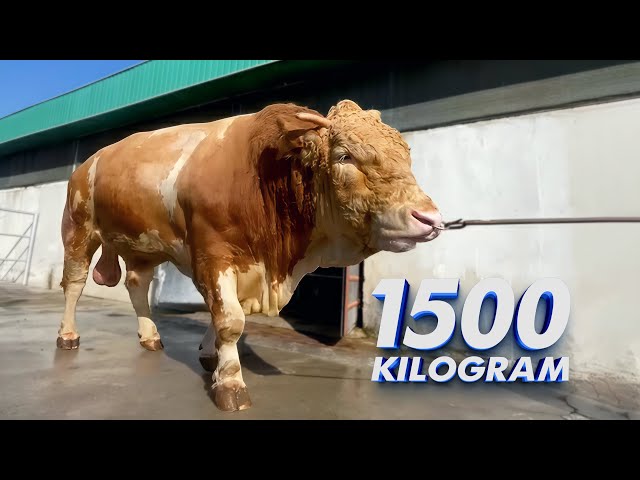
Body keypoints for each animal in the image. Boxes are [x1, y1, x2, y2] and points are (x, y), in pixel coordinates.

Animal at [57, 100, 443, 412]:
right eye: (344, 155)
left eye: (406, 155)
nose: (429, 218)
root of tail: (89, 161)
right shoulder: (214, 253)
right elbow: (231, 319)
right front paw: (230, 383)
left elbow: (226, 315)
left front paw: (211, 356)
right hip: (78, 230)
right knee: (74, 284)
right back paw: (68, 336)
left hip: (143, 246)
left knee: (137, 285)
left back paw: (150, 336)